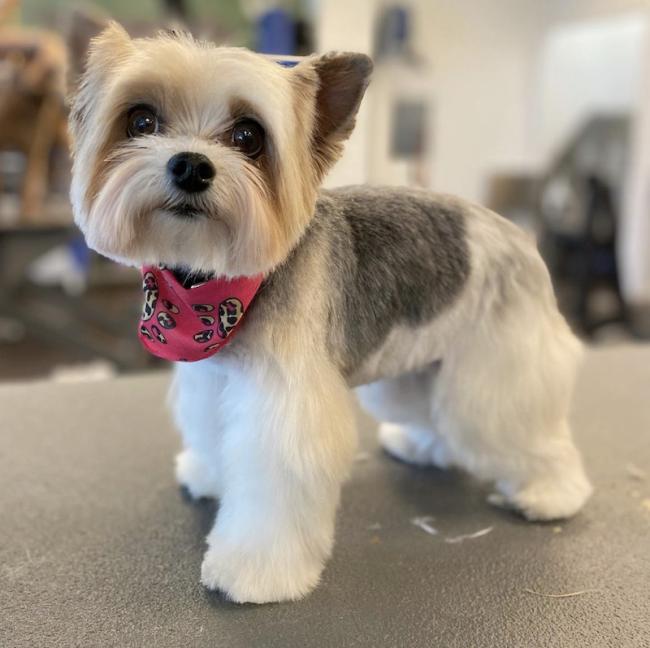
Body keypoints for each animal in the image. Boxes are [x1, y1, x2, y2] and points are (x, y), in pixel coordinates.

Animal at [68, 24, 588, 604]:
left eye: (248, 136)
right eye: (141, 121)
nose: (190, 165)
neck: (210, 288)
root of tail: (519, 235)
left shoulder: (284, 404)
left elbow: (273, 481)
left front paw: (254, 569)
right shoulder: (214, 375)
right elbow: (213, 431)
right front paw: (209, 475)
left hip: (500, 370)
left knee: (521, 430)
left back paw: (550, 493)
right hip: (420, 361)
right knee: (432, 411)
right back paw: (422, 446)